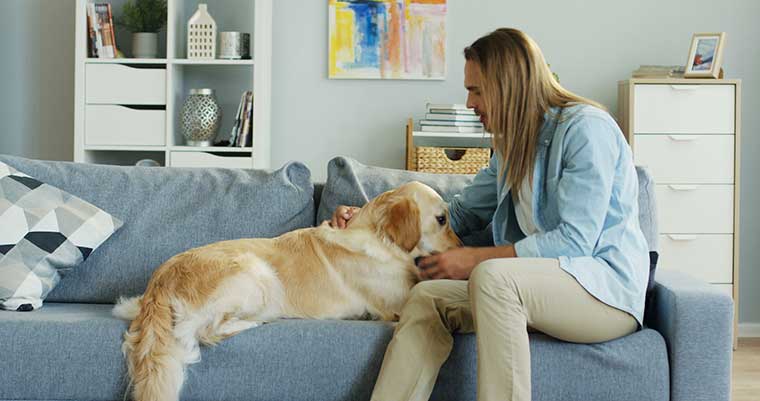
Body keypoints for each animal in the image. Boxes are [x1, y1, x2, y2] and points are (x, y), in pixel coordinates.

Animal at [110, 180, 460, 400]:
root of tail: (161, 279)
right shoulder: (396, 305)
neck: (381, 237)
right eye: (442, 219)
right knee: (207, 331)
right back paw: (255, 321)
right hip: (259, 275)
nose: (462, 248)